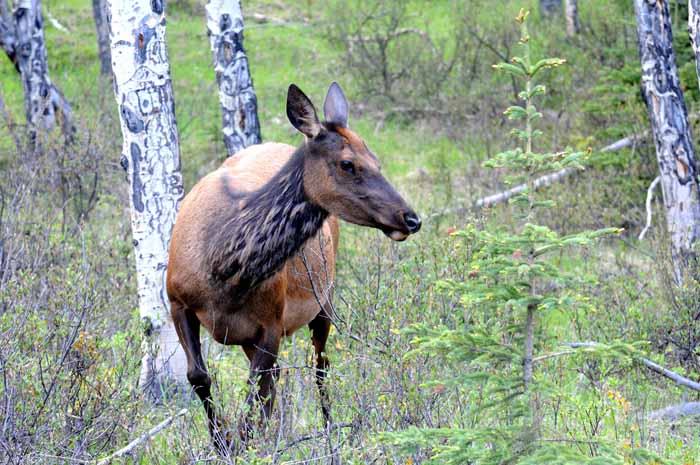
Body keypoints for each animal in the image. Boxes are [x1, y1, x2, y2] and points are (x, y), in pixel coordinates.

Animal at [167, 81, 422, 452]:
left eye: (376, 159)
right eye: (348, 163)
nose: (411, 218)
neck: (223, 271)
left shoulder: (272, 323)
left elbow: (254, 394)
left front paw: (243, 447)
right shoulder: (177, 300)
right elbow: (200, 376)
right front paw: (222, 443)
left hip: (325, 298)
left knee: (320, 365)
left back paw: (329, 432)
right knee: (279, 378)